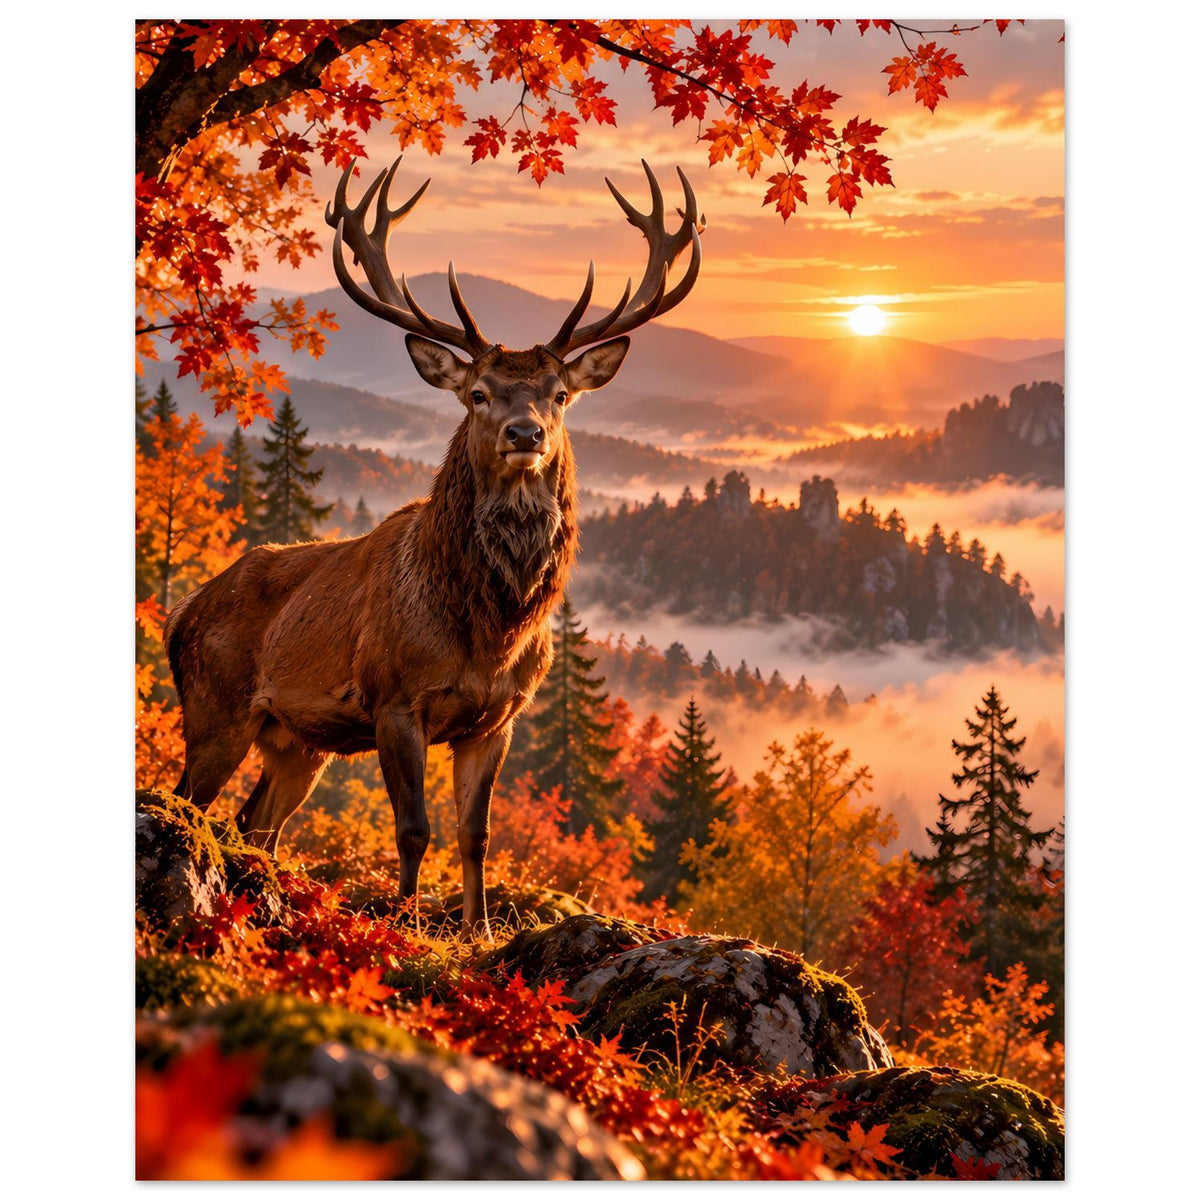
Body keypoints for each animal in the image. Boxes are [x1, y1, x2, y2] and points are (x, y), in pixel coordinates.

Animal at [164, 156, 704, 935]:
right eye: (478, 392)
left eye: (560, 394)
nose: (524, 432)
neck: (490, 633)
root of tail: (181, 614)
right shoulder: (394, 698)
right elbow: (413, 827)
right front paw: (406, 925)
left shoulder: (499, 717)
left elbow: (475, 832)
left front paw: (477, 929)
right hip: (215, 706)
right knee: (187, 801)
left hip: (295, 741)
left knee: (253, 822)